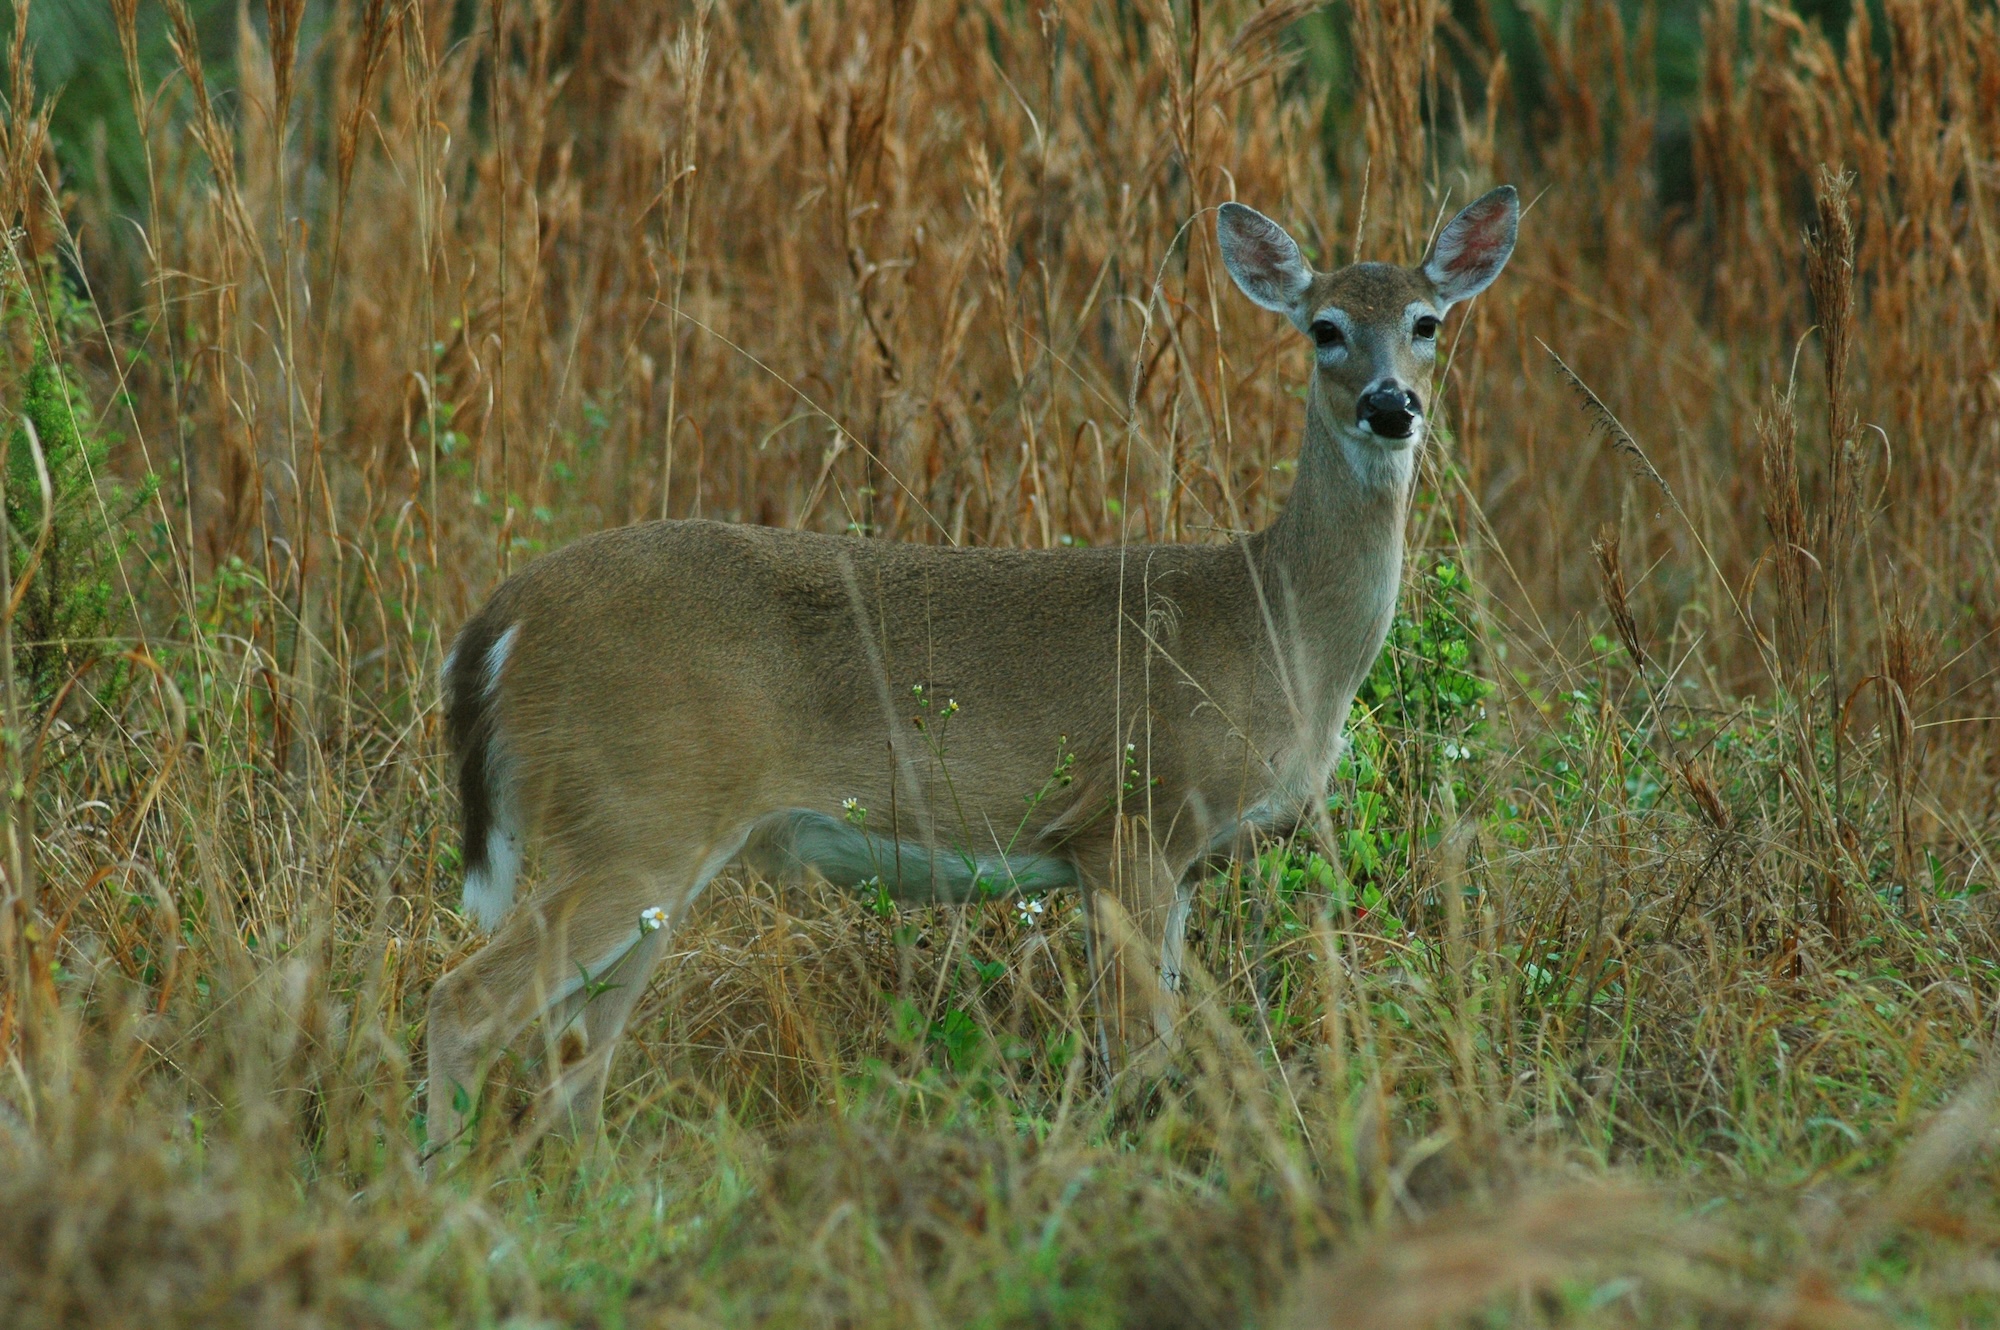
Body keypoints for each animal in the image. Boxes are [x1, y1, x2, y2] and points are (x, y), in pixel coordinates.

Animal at [426, 184, 1512, 1152]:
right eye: (1324, 328)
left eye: (1426, 322)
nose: (1390, 404)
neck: (1274, 625)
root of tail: (499, 620)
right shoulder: (1129, 817)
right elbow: (1140, 1052)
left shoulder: (1182, 859)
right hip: (631, 815)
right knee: (464, 1004)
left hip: (648, 842)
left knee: (577, 1058)